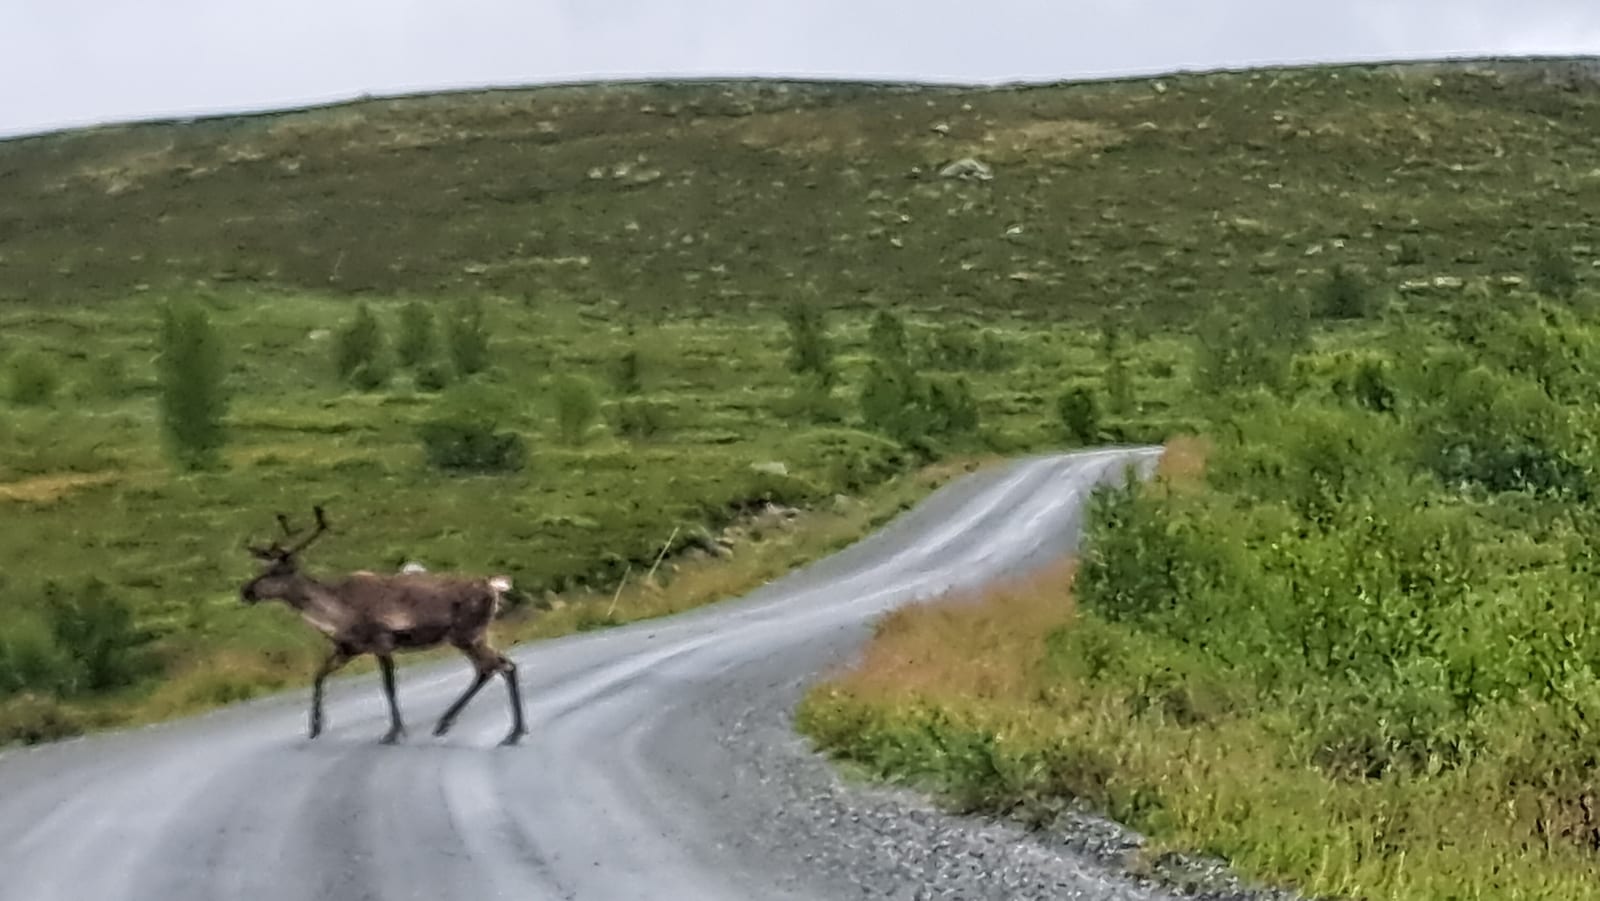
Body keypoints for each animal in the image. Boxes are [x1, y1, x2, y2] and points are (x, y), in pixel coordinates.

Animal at [239, 506, 528, 747]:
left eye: (274, 573)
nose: (246, 591)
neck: (337, 613)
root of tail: (493, 587)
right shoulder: (348, 648)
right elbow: (319, 675)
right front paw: (315, 728)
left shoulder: (381, 641)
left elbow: (388, 686)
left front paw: (393, 732)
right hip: (474, 635)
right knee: (502, 666)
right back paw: (509, 731)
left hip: (466, 633)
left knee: (494, 666)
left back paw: (474, 728)